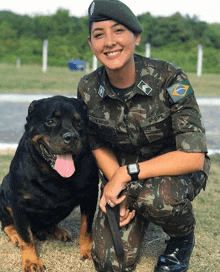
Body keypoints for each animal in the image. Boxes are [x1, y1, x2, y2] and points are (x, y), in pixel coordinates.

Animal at [0, 95, 99, 270]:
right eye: (51, 121)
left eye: (79, 123)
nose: (71, 137)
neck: (53, 175)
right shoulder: (18, 203)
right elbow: (26, 236)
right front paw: (31, 261)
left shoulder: (90, 194)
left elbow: (86, 226)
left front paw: (87, 250)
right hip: (4, 191)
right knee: (7, 224)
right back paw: (15, 235)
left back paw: (59, 231)